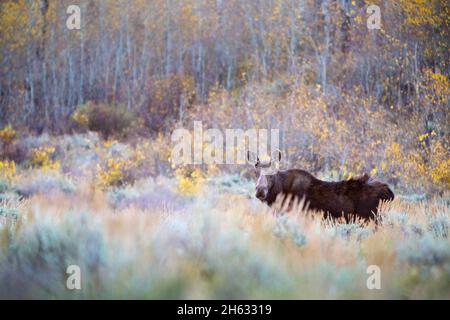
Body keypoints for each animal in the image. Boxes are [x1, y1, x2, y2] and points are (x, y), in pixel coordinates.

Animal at [248, 151, 396, 222]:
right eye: (256, 172)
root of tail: (389, 192)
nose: (260, 191)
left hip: (371, 218)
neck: (279, 193)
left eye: (272, 174)